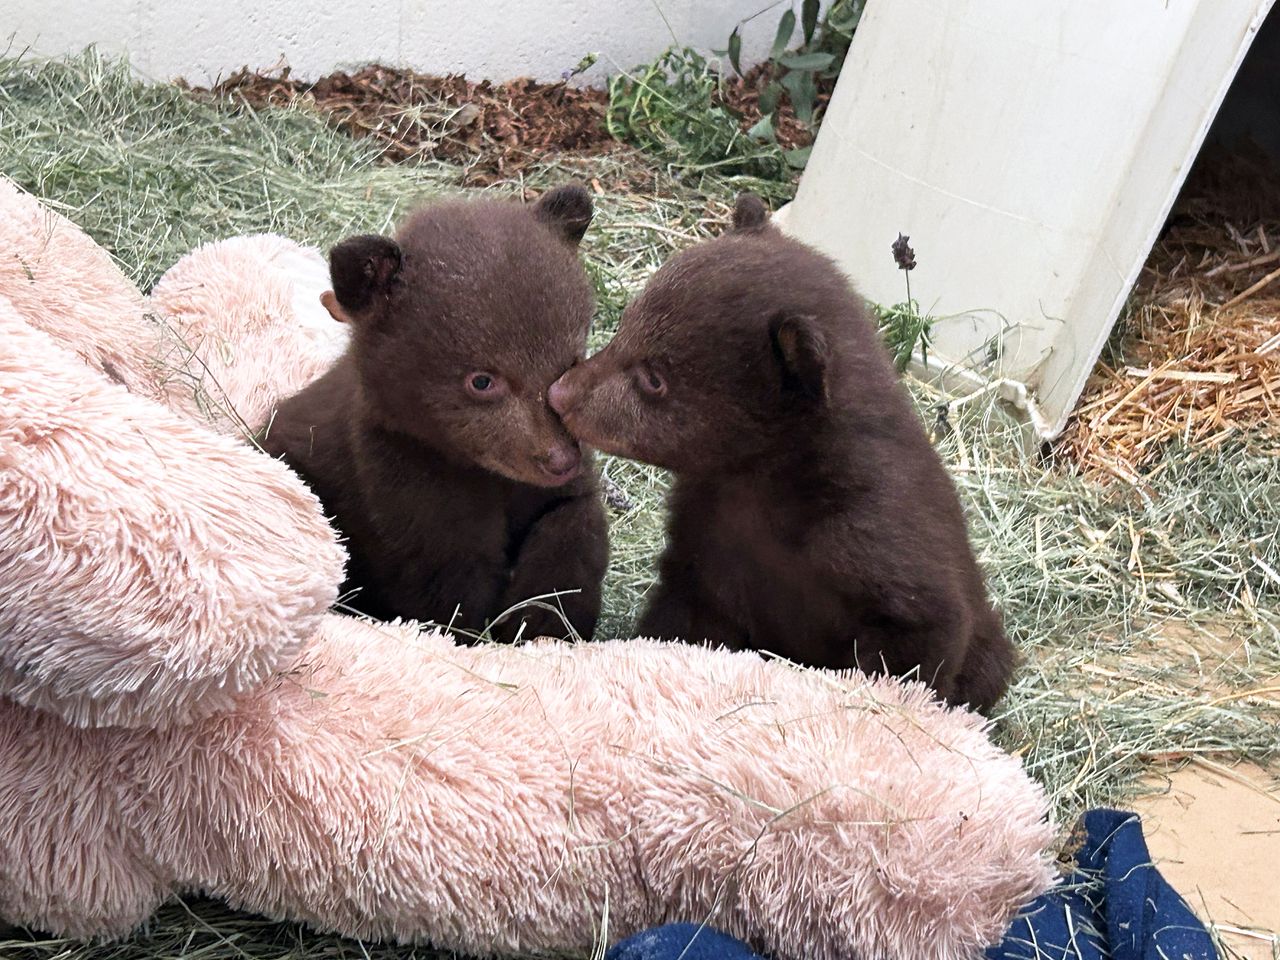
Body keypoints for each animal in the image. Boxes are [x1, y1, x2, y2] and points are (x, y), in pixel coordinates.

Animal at [259, 185, 608, 642]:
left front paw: (543, 619)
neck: (480, 473)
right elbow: (445, 590)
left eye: (569, 362)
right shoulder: (406, 486)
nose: (560, 459)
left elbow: (572, 523)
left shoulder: (552, 490)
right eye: (482, 381)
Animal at [546, 193, 1015, 713]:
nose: (560, 394)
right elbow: (685, 615)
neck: (764, 480)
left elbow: (919, 636)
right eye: (625, 326)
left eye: (654, 378)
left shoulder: (878, 537)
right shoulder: (706, 541)